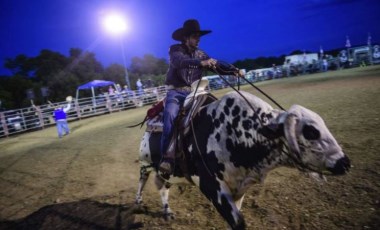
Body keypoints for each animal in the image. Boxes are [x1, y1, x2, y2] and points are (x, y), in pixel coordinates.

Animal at [134, 90, 350, 229]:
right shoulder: (210, 185)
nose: (345, 162)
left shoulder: (239, 186)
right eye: (311, 131)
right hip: (145, 163)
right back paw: (138, 203)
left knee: (162, 186)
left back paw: (167, 212)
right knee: (143, 181)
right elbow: (238, 222)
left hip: (166, 172)